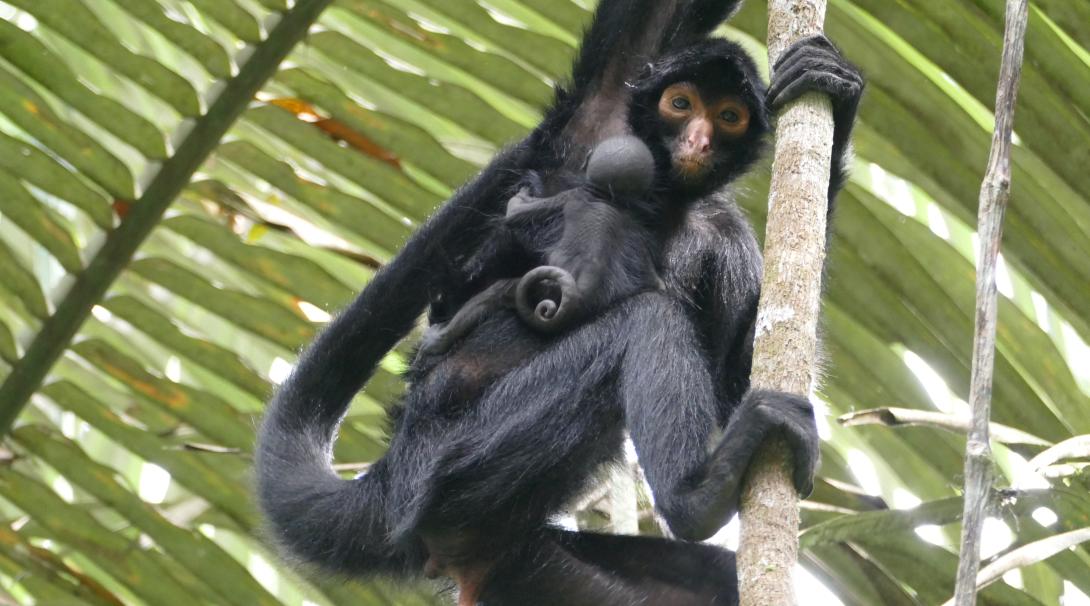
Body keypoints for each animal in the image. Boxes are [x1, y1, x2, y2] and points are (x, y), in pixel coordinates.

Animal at [255, 1, 858, 601]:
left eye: (729, 116)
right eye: (681, 105)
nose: (698, 142)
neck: (665, 204)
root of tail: (393, 475)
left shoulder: (725, 236)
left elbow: (738, 374)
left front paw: (834, 91)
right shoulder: (596, 129)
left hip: (525, 564)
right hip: (457, 461)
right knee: (647, 318)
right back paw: (698, 498)